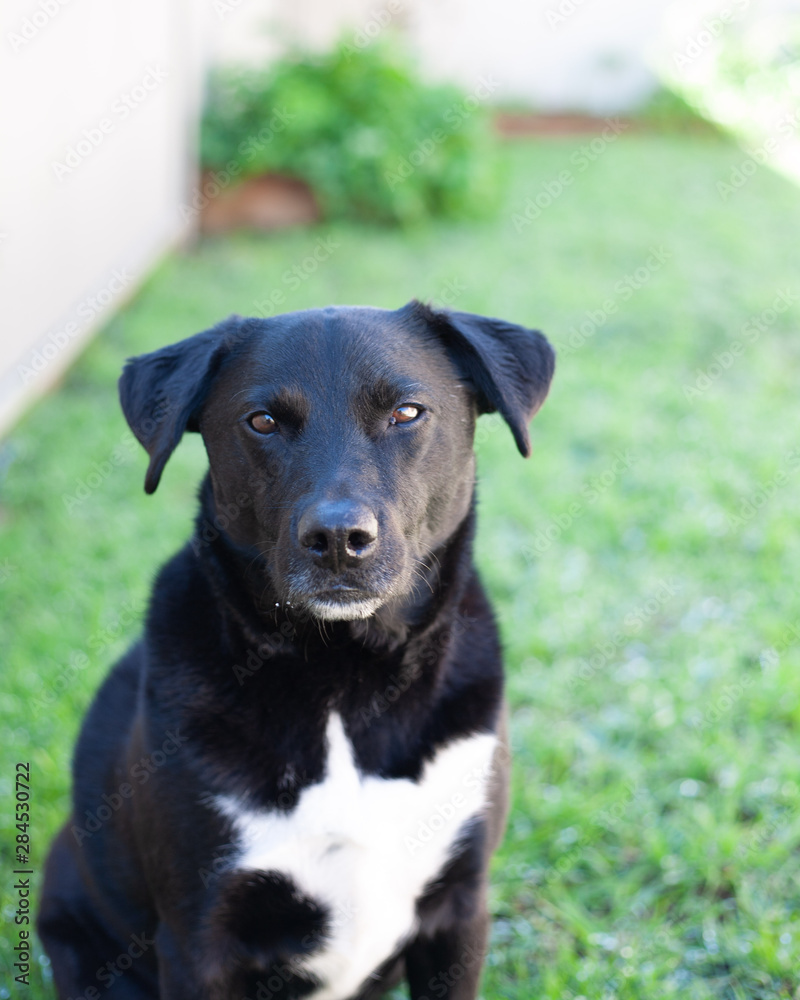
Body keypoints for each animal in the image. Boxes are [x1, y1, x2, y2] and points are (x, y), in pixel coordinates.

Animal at [37, 300, 552, 996]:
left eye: (407, 412)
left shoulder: (459, 910)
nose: (338, 540)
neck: (343, 678)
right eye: (262, 422)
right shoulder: (198, 941)